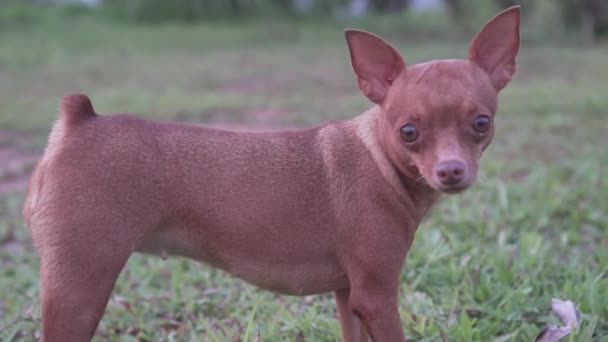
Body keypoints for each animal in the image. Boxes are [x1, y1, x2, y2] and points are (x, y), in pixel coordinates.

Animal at [21, 6, 520, 342]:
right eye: (409, 132)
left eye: (481, 123)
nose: (451, 170)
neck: (380, 159)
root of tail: (79, 122)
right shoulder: (377, 297)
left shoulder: (350, 295)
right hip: (79, 289)